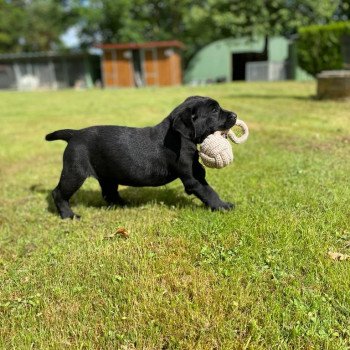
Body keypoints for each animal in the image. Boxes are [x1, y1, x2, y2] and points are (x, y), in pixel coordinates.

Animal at [46, 95, 237, 219]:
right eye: (214, 110)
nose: (235, 115)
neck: (178, 136)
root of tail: (74, 134)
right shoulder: (194, 179)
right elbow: (209, 191)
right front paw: (223, 206)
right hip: (75, 172)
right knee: (58, 193)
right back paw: (68, 215)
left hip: (108, 175)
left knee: (109, 193)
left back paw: (123, 205)